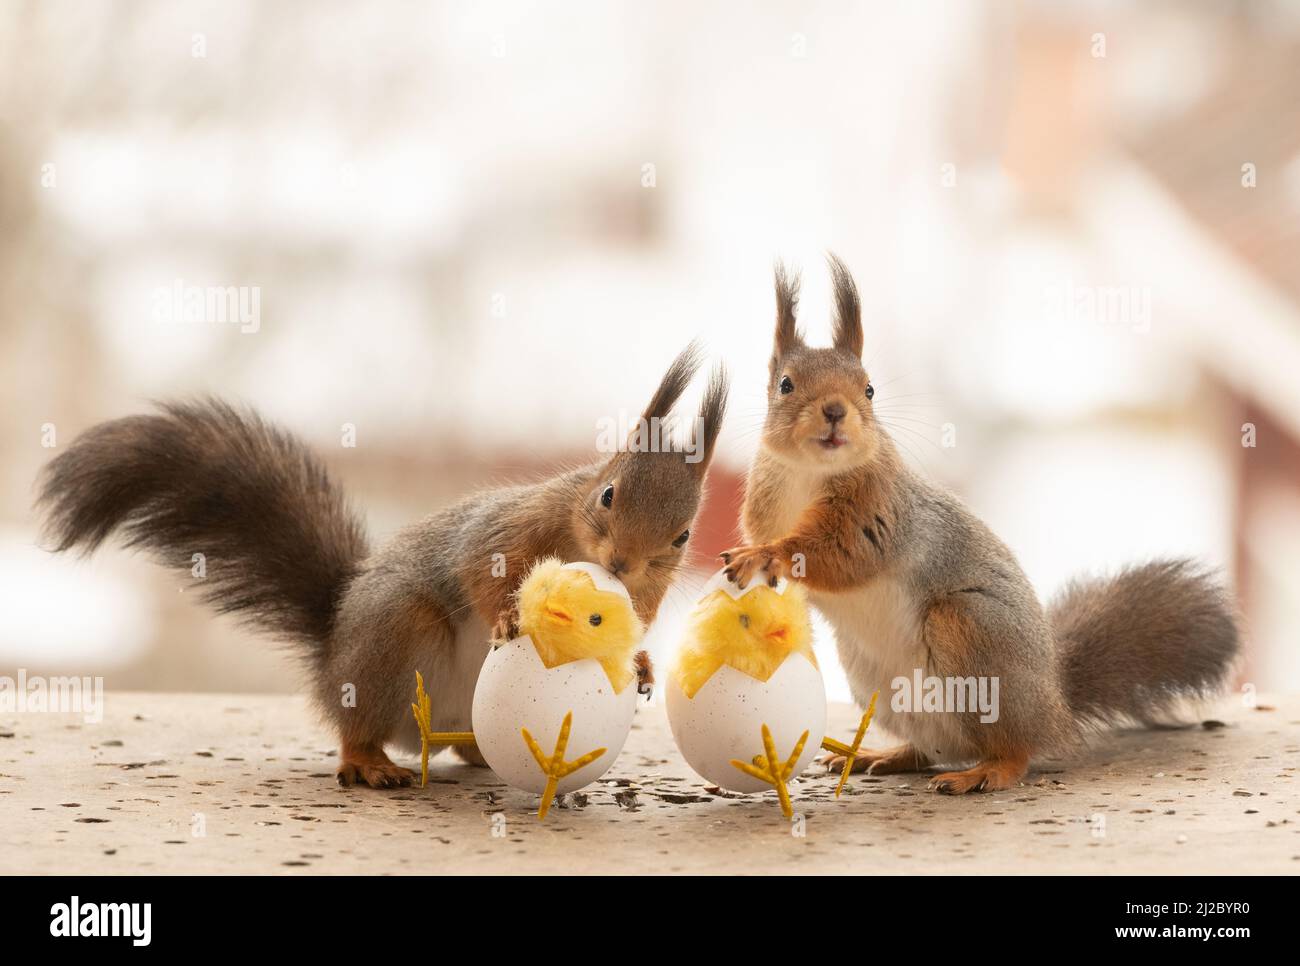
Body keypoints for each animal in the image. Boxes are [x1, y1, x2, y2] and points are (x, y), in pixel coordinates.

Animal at [37, 344, 728, 788]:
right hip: (397, 633)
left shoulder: (647, 590)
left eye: (683, 534)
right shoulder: (510, 528)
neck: (581, 538)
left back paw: (480, 758)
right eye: (608, 493)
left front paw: (641, 662)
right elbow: (478, 572)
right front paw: (507, 620)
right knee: (358, 723)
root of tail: (332, 648)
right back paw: (368, 761)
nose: (621, 561)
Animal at [722, 256, 1240, 794]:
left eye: (869, 388)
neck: (809, 473)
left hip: (971, 635)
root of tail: (1056, 703)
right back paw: (884, 755)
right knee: (934, 748)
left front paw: (768, 556)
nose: (835, 411)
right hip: (876, 679)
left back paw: (984, 772)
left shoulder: (880, 514)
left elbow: (843, 555)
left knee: (1015, 751)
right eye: (785, 384)